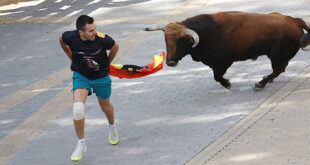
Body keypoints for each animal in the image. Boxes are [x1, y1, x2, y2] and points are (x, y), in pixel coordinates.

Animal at [145, 11, 310, 90]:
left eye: (180, 43)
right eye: (166, 41)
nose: (170, 62)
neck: (205, 34)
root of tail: (294, 20)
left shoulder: (223, 63)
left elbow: (217, 77)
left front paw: (227, 83)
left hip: (277, 56)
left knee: (278, 69)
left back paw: (260, 83)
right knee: (279, 70)